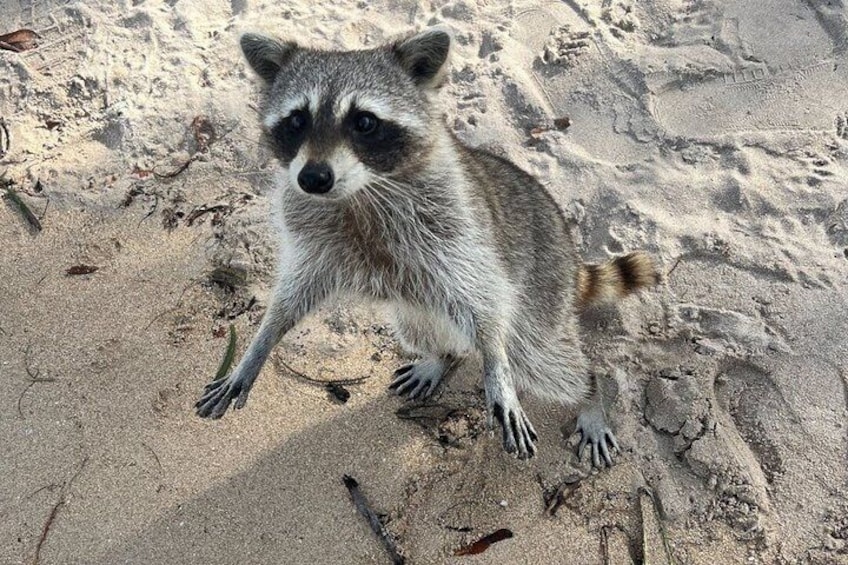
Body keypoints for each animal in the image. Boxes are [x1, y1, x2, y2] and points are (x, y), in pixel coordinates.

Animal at [195, 28, 659, 465]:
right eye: (296, 120)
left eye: (364, 122)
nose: (313, 178)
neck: (359, 191)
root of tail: (568, 248)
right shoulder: (311, 235)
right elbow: (293, 294)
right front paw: (257, 346)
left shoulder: (458, 227)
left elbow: (487, 298)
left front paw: (498, 368)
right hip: (418, 305)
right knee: (427, 328)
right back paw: (442, 355)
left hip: (543, 290)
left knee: (543, 359)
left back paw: (590, 395)